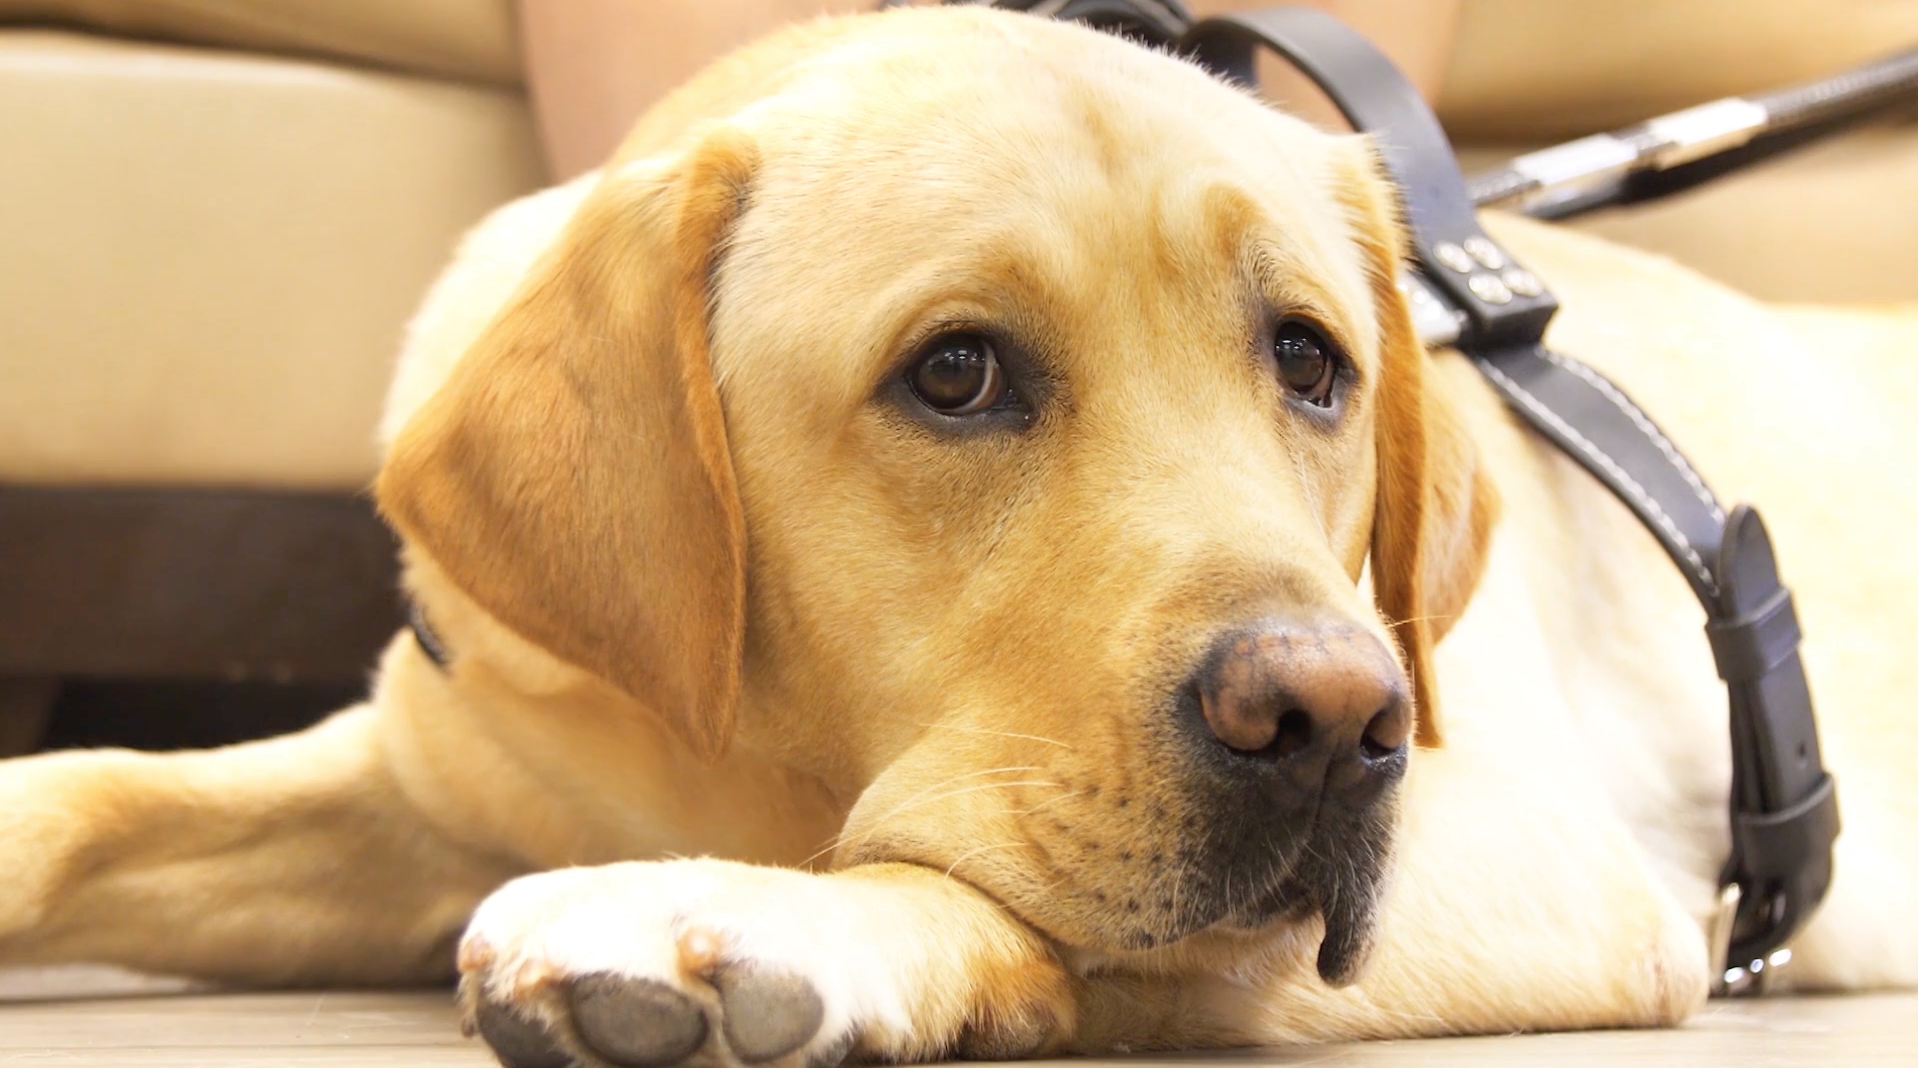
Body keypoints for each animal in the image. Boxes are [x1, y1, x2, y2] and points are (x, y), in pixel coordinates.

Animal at [3, 4, 1918, 1058]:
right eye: (955, 373)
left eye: (1308, 362)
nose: (1330, 722)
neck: (730, 760)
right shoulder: (427, 778)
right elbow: (87, 790)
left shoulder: (1572, 863)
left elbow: (1010, 892)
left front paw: (737, 914)